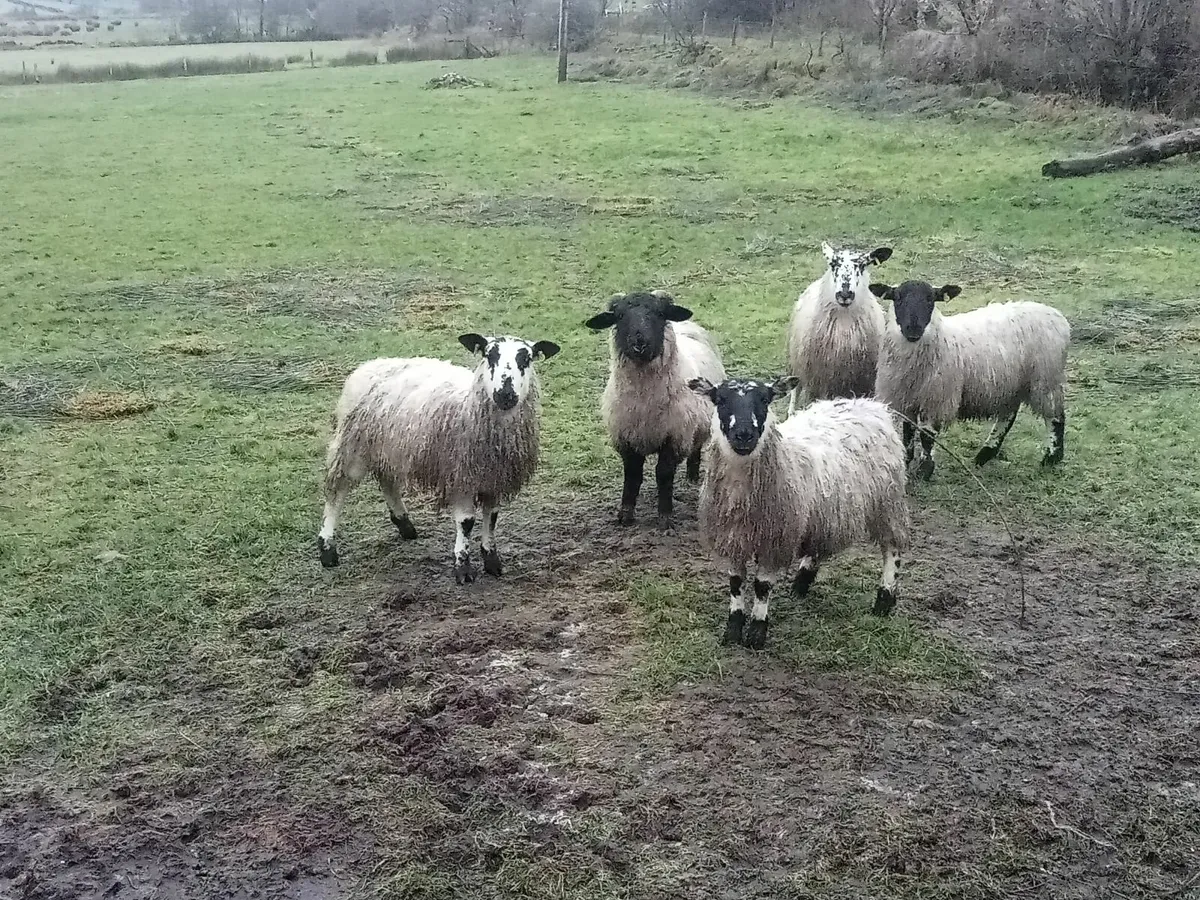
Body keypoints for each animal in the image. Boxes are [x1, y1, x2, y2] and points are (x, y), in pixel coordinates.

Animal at [317, 333, 561, 584]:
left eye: (526, 359)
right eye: (489, 355)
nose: (505, 394)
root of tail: (369, 365)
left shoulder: (494, 479)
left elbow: (491, 518)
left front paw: (492, 561)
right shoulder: (462, 477)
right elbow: (466, 522)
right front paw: (463, 568)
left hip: (390, 448)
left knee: (387, 481)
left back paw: (404, 524)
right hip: (352, 448)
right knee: (337, 492)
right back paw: (327, 548)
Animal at [585, 291, 726, 530]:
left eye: (660, 314)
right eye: (619, 316)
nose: (639, 343)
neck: (645, 402)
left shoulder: (675, 436)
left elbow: (664, 474)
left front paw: (665, 517)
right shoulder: (626, 437)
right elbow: (633, 476)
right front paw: (625, 515)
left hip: (698, 424)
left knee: (695, 448)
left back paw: (692, 477)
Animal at [689, 375, 911, 651]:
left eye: (765, 399)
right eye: (719, 399)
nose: (744, 435)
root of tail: (870, 405)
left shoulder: (775, 539)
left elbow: (762, 586)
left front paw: (757, 633)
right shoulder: (734, 537)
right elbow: (736, 583)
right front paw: (732, 630)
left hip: (888, 501)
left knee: (892, 548)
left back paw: (885, 598)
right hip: (826, 510)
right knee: (819, 544)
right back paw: (802, 582)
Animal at [785, 242, 893, 415]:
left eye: (863, 265)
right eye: (833, 263)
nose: (845, 294)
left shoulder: (865, 383)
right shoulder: (818, 383)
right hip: (795, 360)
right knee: (795, 389)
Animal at [869, 280, 1070, 478]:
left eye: (930, 299)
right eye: (897, 298)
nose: (913, 329)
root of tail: (1056, 315)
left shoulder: (936, 399)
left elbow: (927, 436)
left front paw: (925, 469)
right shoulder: (905, 398)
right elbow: (908, 432)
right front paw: (906, 460)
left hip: (1046, 379)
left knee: (1056, 417)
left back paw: (1052, 457)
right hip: (1011, 384)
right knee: (1008, 416)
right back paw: (986, 453)